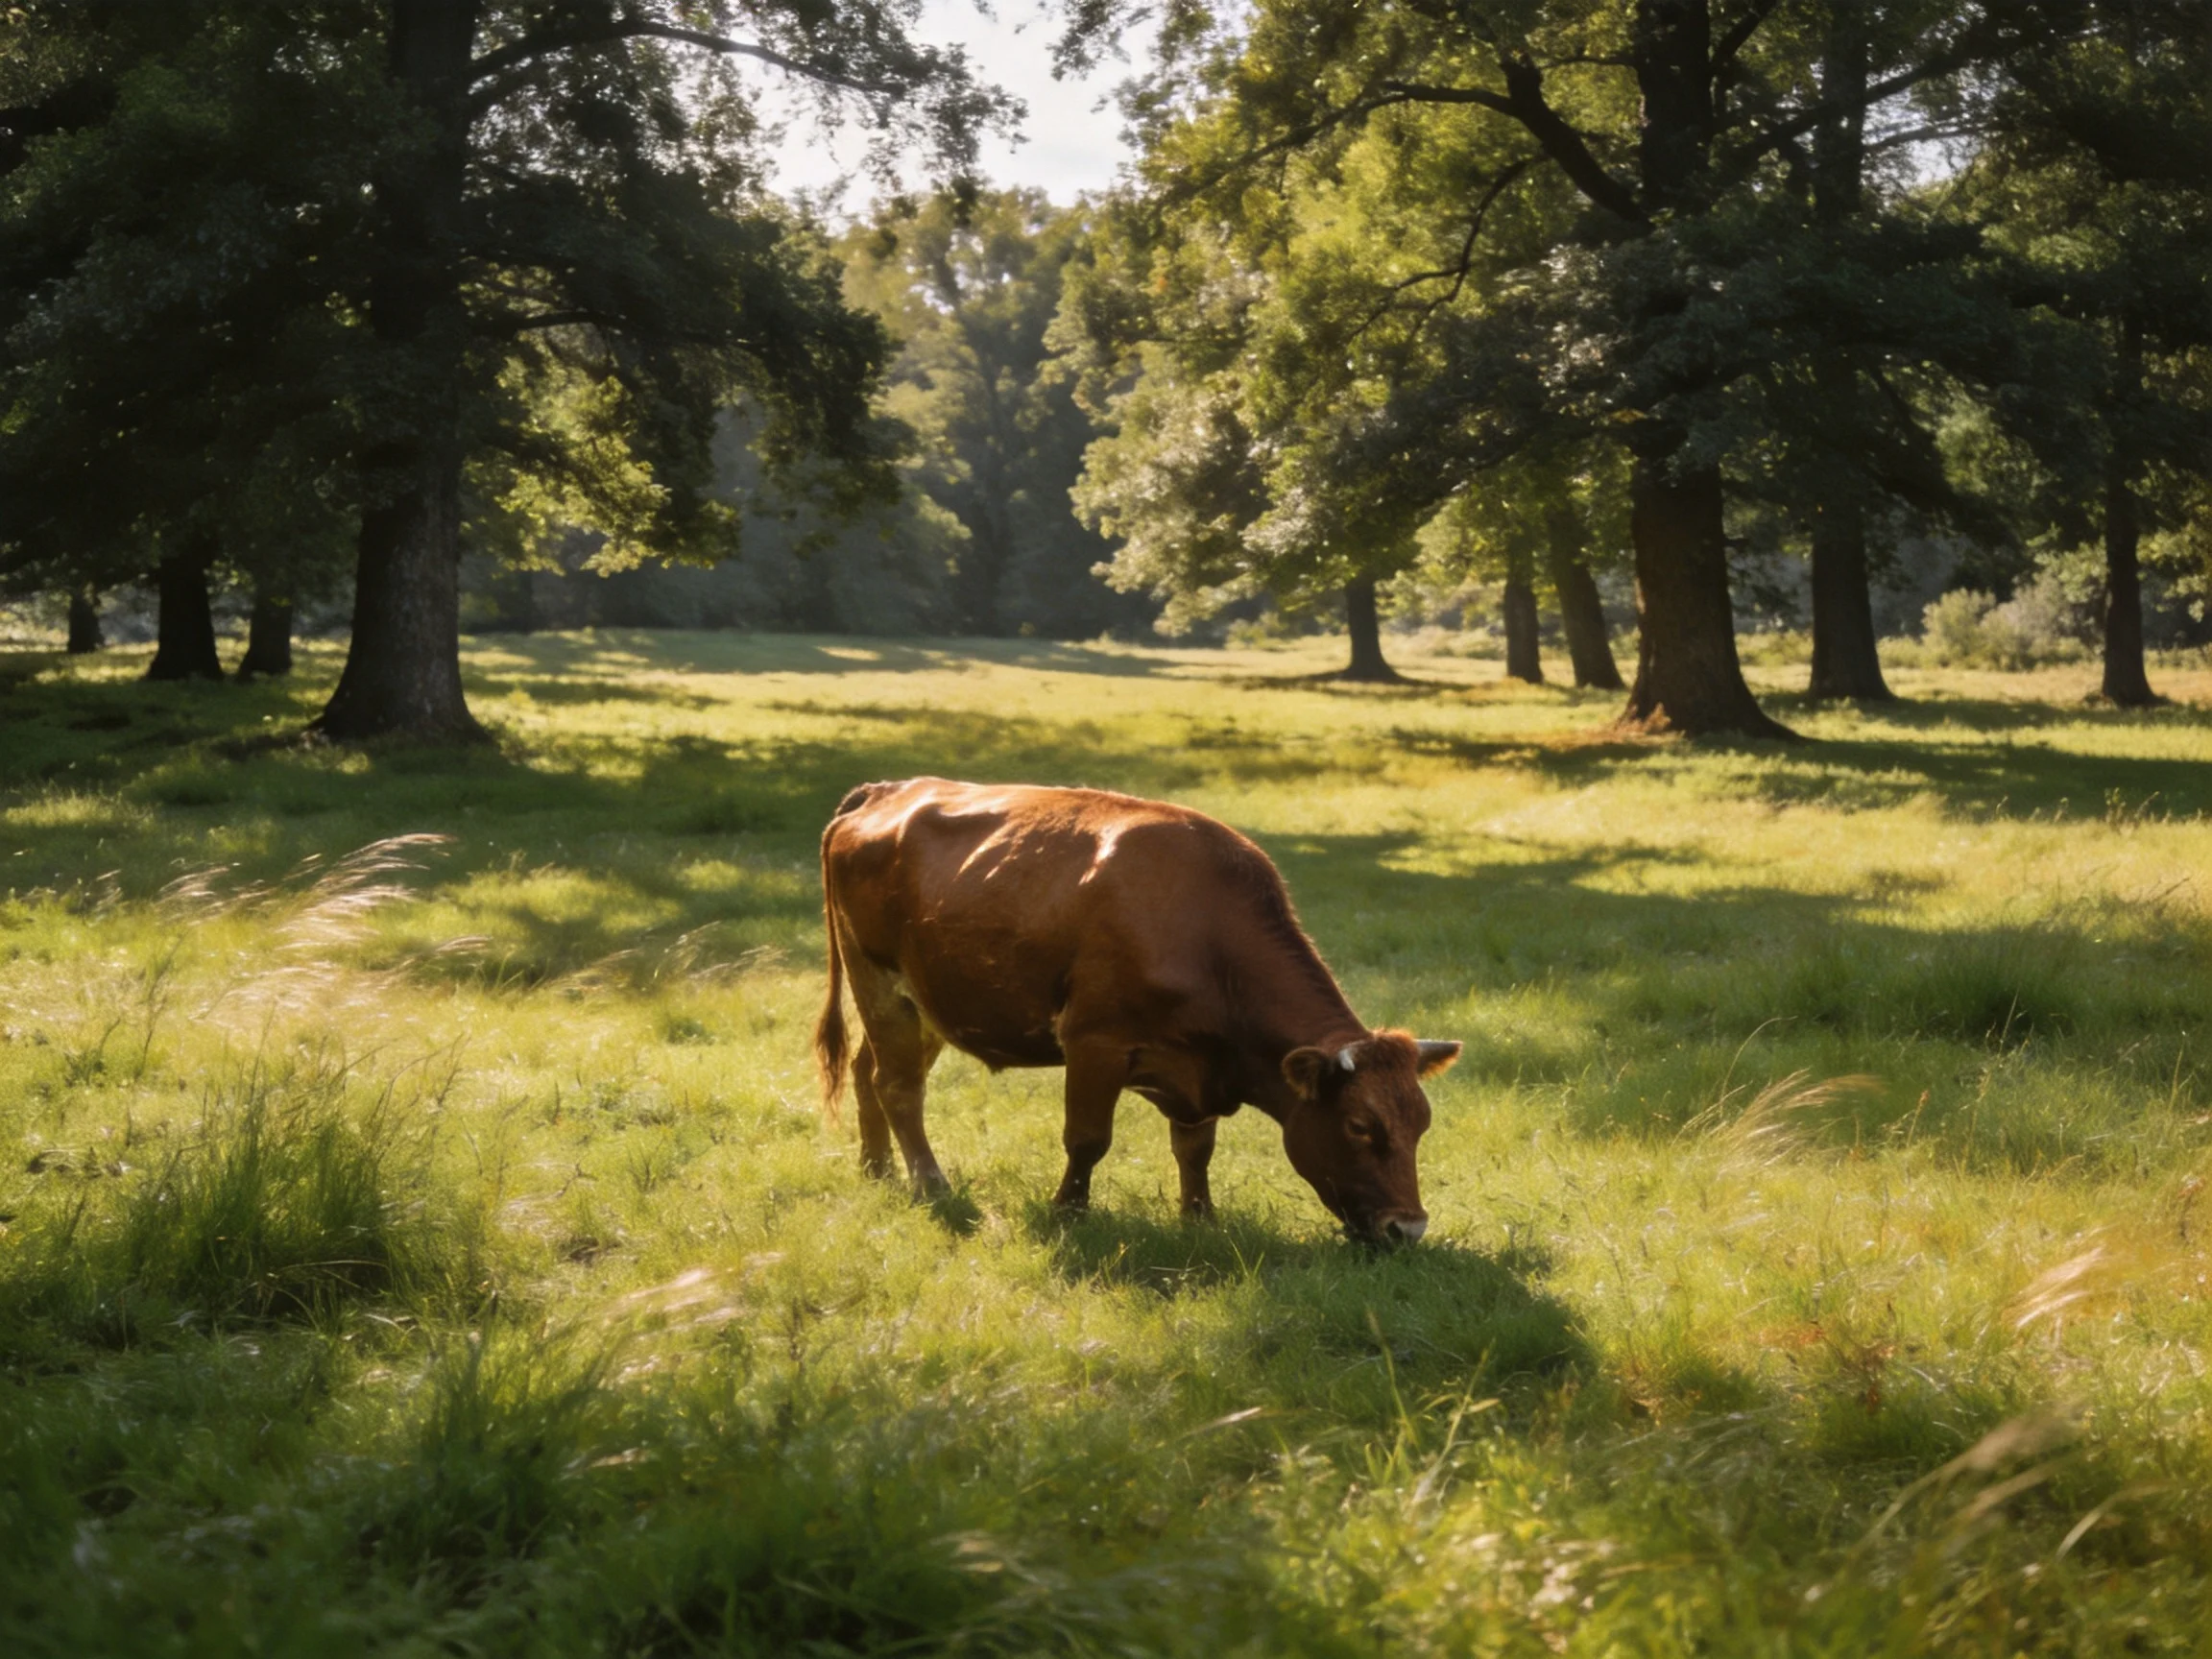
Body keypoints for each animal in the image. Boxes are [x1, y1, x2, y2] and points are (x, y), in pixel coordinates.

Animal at [814, 777, 1461, 1244]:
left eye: (1422, 1125)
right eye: (1360, 1127)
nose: (1408, 1229)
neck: (1205, 932)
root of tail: (886, 790)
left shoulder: (1198, 1071)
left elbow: (1196, 1150)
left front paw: (1199, 1218)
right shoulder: (1093, 1043)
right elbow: (1087, 1139)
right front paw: (1068, 1211)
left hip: (926, 1002)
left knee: (867, 1072)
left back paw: (876, 1170)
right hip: (879, 983)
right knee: (898, 1086)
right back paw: (929, 1183)